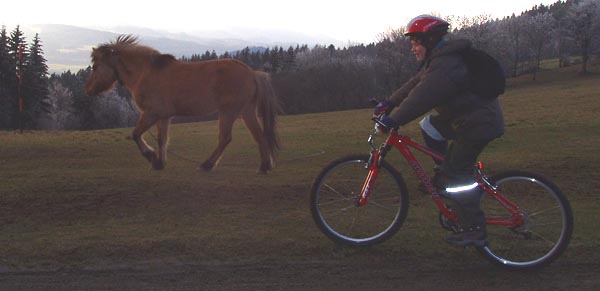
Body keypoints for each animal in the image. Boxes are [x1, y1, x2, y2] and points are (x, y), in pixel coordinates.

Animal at [86, 36, 282, 173]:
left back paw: (207, 165)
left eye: (95, 66)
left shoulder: (151, 113)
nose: (88, 90)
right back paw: (264, 166)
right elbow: (162, 139)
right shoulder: (164, 116)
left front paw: (151, 157)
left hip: (229, 113)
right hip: (246, 111)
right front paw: (160, 162)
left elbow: (136, 134)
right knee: (259, 135)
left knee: (225, 138)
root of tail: (252, 73)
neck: (145, 73)